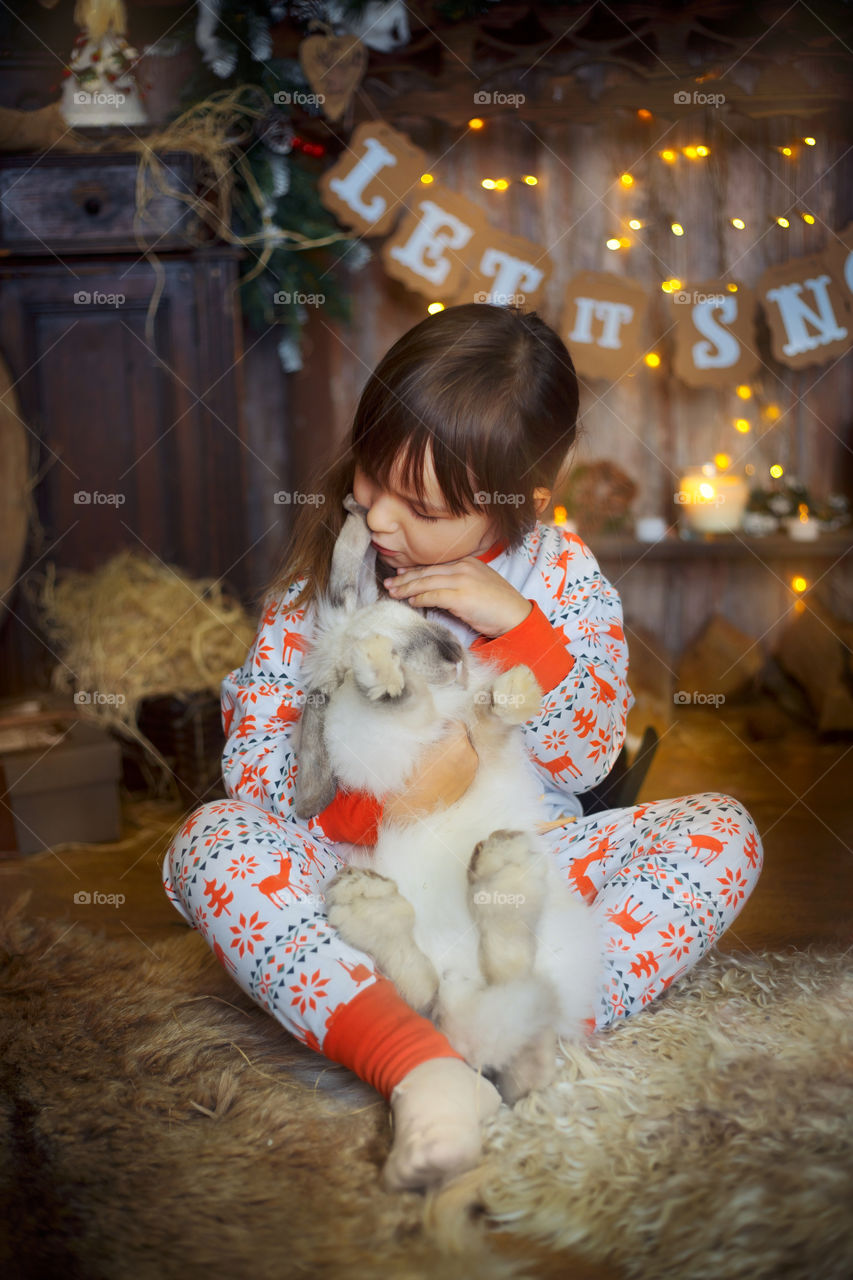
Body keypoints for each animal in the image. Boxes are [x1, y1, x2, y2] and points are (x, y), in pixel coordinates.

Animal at [294, 494, 596, 1105]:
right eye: (392, 645)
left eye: (412, 613)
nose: (455, 650)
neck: (442, 699)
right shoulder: (389, 742)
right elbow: (403, 706)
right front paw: (381, 675)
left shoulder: (482, 739)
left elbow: (490, 717)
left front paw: (519, 687)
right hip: (441, 995)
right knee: (429, 1000)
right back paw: (374, 904)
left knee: (513, 1008)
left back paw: (501, 871)